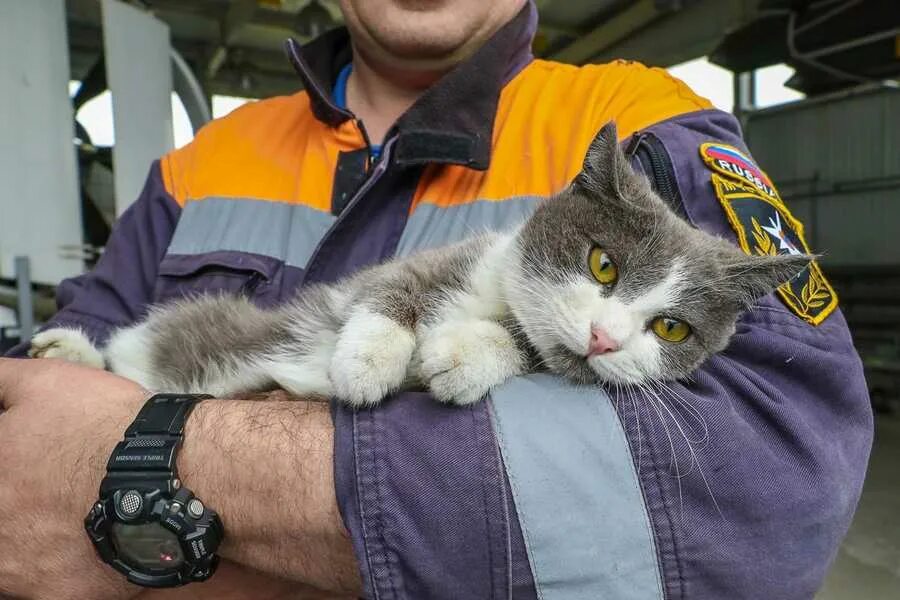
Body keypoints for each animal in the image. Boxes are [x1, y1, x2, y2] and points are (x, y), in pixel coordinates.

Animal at [31, 124, 812, 410]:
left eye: (672, 329)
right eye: (603, 265)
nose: (604, 338)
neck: (494, 296)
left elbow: (516, 351)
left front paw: (465, 356)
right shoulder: (429, 266)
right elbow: (388, 289)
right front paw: (369, 361)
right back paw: (67, 350)